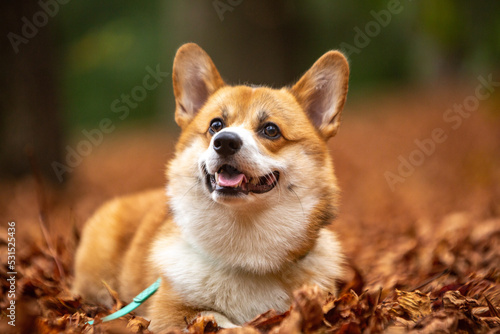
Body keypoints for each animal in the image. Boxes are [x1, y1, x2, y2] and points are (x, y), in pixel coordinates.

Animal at [73, 42, 348, 332]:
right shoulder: (168, 312)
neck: (244, 250)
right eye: (216, 125)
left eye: (271, 130)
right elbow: (215, 318)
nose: (225, 141)